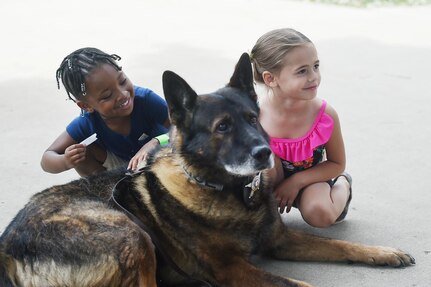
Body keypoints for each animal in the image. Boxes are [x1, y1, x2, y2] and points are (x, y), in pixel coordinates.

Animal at [1, 54, 416, 287]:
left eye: (253, 118)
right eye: (222, 127)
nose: (266, 154)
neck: (229, 193)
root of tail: (7, 248)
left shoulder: (280, 241)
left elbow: (340, 245)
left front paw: (383, 253)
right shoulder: (233, 271)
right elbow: (299, 285)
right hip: (133, 236)